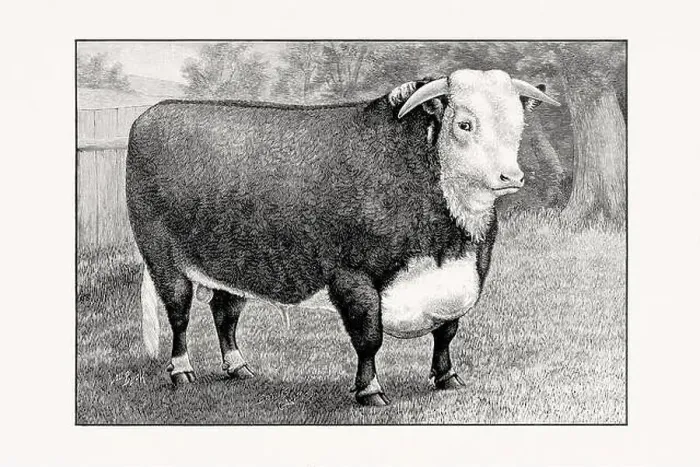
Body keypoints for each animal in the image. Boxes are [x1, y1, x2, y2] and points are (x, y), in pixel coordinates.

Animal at [126, 68, 559, 406]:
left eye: (518, 126)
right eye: (464, 124)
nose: (511, 176)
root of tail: (156, 112)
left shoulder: (461, 278)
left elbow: (447, 332)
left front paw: (446, 378)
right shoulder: (354, 278)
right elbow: (369, 339)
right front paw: (370, 391)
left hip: (233, 261)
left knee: (224, 311)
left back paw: (238, 367)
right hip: (163, 257)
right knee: (179, 315)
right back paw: (181, 371)